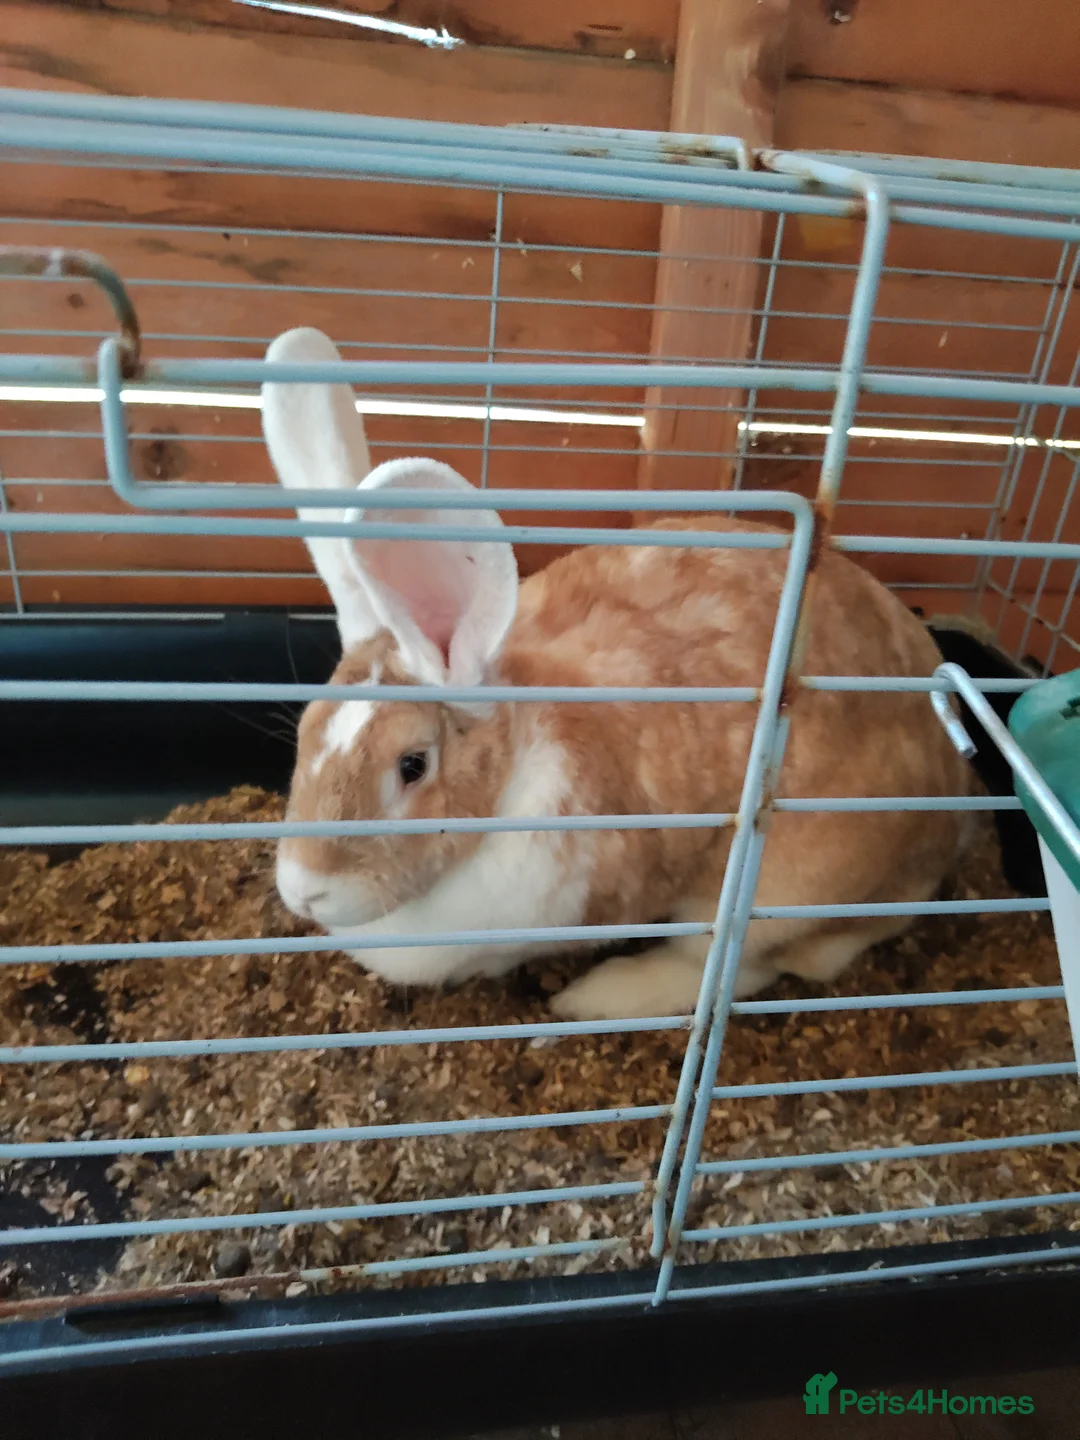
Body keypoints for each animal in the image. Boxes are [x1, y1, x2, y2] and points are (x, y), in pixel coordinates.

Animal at [263, 326, 973, 1022]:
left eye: (412, 766)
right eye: (304, 732)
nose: (305, 891)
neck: (510, 775)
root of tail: (947, 824)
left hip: (782, 889)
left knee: (743, 965)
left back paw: (598, 996)